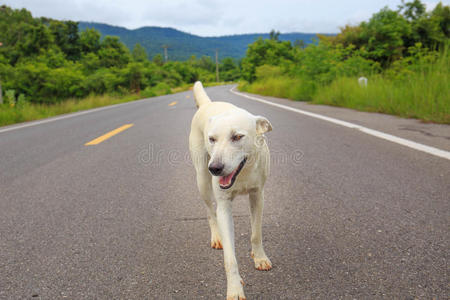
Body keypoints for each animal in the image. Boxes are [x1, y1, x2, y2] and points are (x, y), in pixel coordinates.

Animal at [188, 81, 272, 298]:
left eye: (237, 136)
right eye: (212, 139)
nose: (215, 168)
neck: (243, 173)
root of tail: (208, 104)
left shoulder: (258, 196)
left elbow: (256, 233)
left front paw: (259, 257)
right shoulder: (224, 207)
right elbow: (230, 258)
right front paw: (235, 288)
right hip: (202, 180)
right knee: (210, 211)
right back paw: (217, 237)